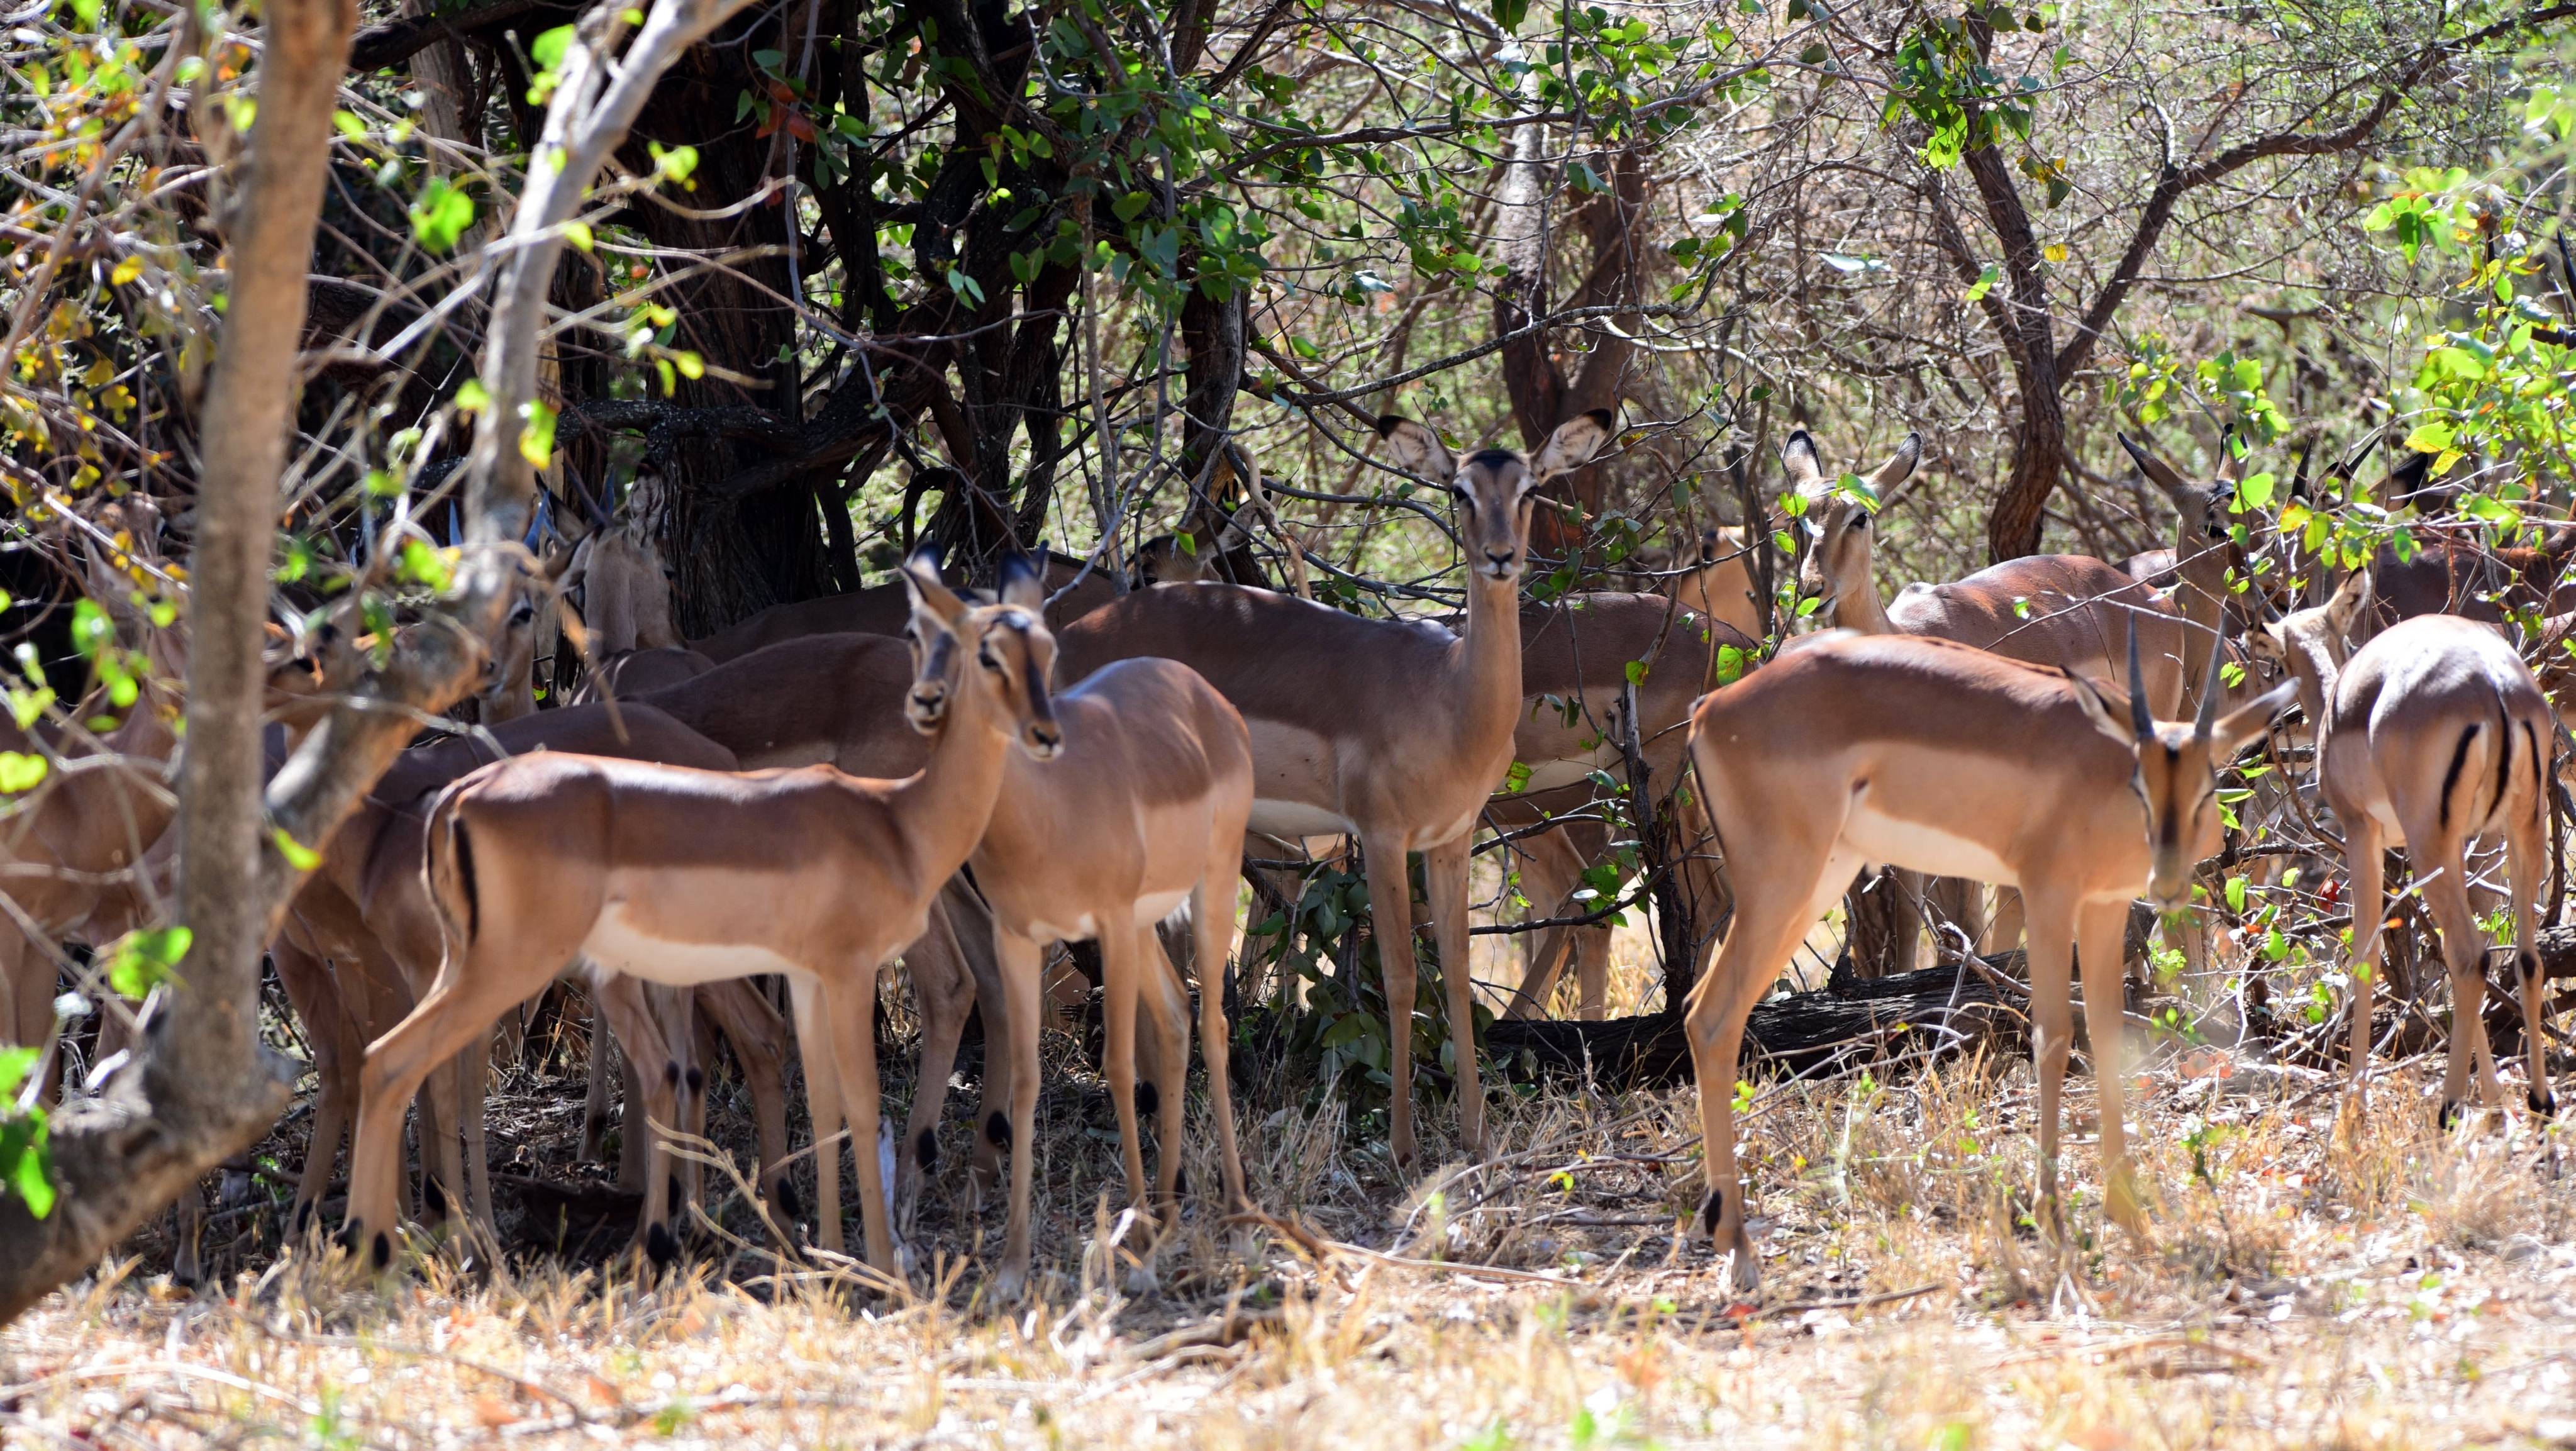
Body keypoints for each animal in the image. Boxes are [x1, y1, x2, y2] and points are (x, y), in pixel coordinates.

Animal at [1054, 410, 1614, 1163]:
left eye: (1529, 488)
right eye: (1459, 489)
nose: (1500, 557)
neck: (1449, 696)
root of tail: (1067, 639)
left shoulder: (1450, 839)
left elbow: (1456, 973)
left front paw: (1474, 1136)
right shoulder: (1379, 836)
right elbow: (1403, 975)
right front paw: (1404, 1145)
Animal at [1684, 626, 2294, 1289]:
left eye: (2206, 786)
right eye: (2140, 783)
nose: (2170, 882)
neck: (2097, 773)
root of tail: (1710, 710)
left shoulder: (2104, 905)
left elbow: (2109, 1036)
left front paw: (2130, 1218)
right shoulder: (2048, 894)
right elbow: (2054, 1037)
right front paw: (2052, 1221)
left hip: (1822, 875)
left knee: (1701, 1008)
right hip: (1783, 882)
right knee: (1711, 1017)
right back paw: (1739, 1249)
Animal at [2255, 572, 2558, 1120]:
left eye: (2277, 660)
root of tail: (2493, 684)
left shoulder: (2361, 831)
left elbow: (2366, 956)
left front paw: (2351, 1113)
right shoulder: (2457, 842)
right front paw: (2495, 1104)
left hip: (2427, 841)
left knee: (2470, 955)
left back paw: (2450, 1110)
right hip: (2522, 826)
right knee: (2523, 957)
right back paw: (2538, 1107)